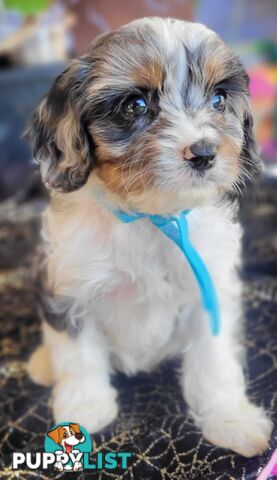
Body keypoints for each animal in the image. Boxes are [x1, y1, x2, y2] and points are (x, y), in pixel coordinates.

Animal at [26, 15, 272, 458]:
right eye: (135, 105)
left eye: (218, 99)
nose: (204, 153)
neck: (152, 216)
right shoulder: (68, 286)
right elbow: (76, 353)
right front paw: (84, 409)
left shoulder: (211, 287)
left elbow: (215, 359)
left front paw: (231, 418)